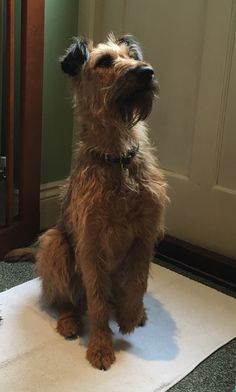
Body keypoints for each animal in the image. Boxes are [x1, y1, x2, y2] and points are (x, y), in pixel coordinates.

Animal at [5, 34, 168, 370]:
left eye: (132, 56)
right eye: (105, 61)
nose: (147, 71)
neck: (118, 159)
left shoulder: (145, 234)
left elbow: (138, 282)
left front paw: (130, 315)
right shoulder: (92, 243)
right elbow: (96, 302)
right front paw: (101, 346)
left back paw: (136, 312)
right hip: (55, 242)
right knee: (65, 300)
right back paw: (69, 321)